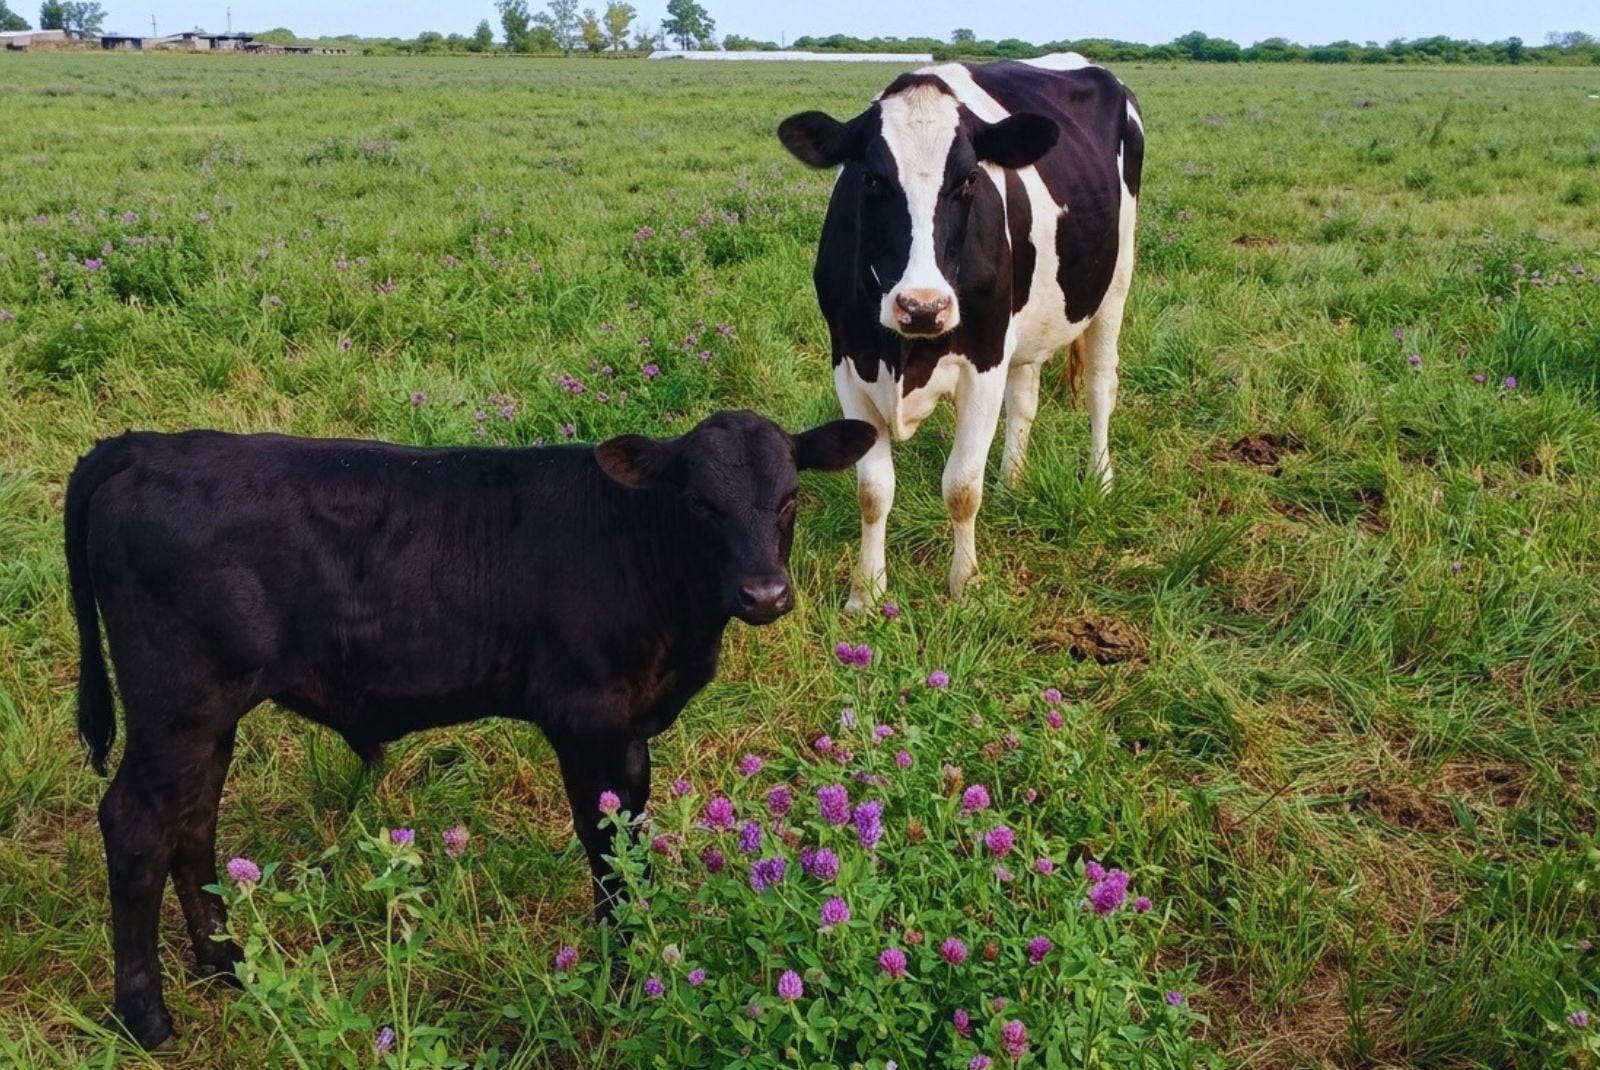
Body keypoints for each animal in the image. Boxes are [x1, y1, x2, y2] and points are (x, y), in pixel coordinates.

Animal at [64, 409, 876, 1049]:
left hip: (206, 718)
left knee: (193, 821)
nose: (765, 594)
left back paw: (227, 964)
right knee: (137, 824)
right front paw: (622, 972)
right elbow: (605, 845)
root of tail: (150, 446)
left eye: (790, 496)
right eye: (701, 503)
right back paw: (147, 1018)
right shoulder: (587, 718)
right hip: (178, 704)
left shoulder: (631, 731)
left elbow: (633, 837)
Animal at [778, 53, 1144, 610]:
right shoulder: (849, 363)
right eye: (871, 180)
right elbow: (873, 491)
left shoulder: (984, 362)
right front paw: (866, 593)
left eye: (970, 178)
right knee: (1026, 397)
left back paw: (1099, 480)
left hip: (1114, 281)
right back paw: (1012, 482)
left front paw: (965, 586)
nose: (922, 306)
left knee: (1101, 386)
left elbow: (962, 488)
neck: (903, 351)